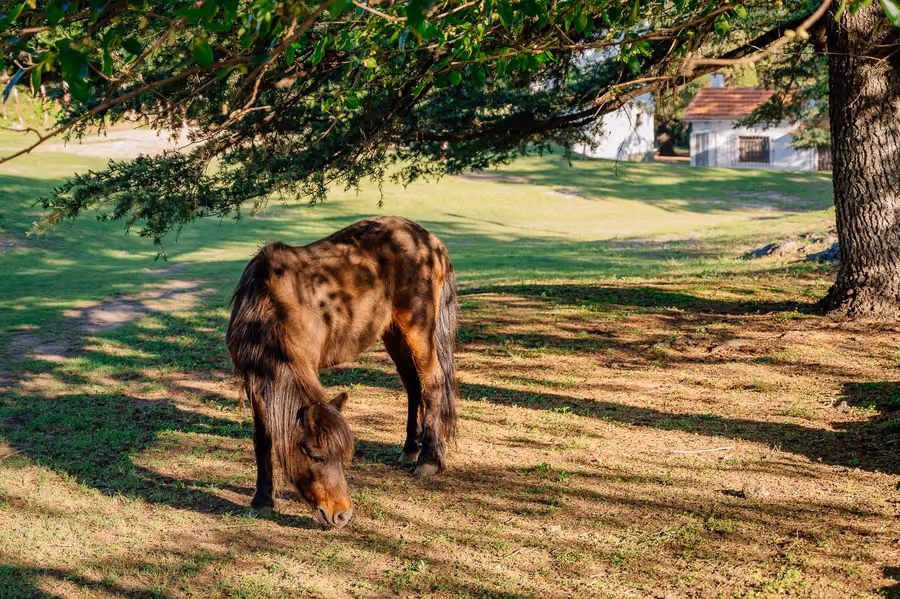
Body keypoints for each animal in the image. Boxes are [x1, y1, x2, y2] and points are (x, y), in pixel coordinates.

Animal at [226, 216, 458, 529]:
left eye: (343, 456)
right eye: (316, 456)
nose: (342, 515)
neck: (271, 308)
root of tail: (430, 241)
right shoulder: (257, 384)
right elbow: (263, 438)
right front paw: (262, 501)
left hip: (418, 329)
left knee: (432, 384)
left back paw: (428, 460)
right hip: (393, 333)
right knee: (413, 386)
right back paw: (410, 449)